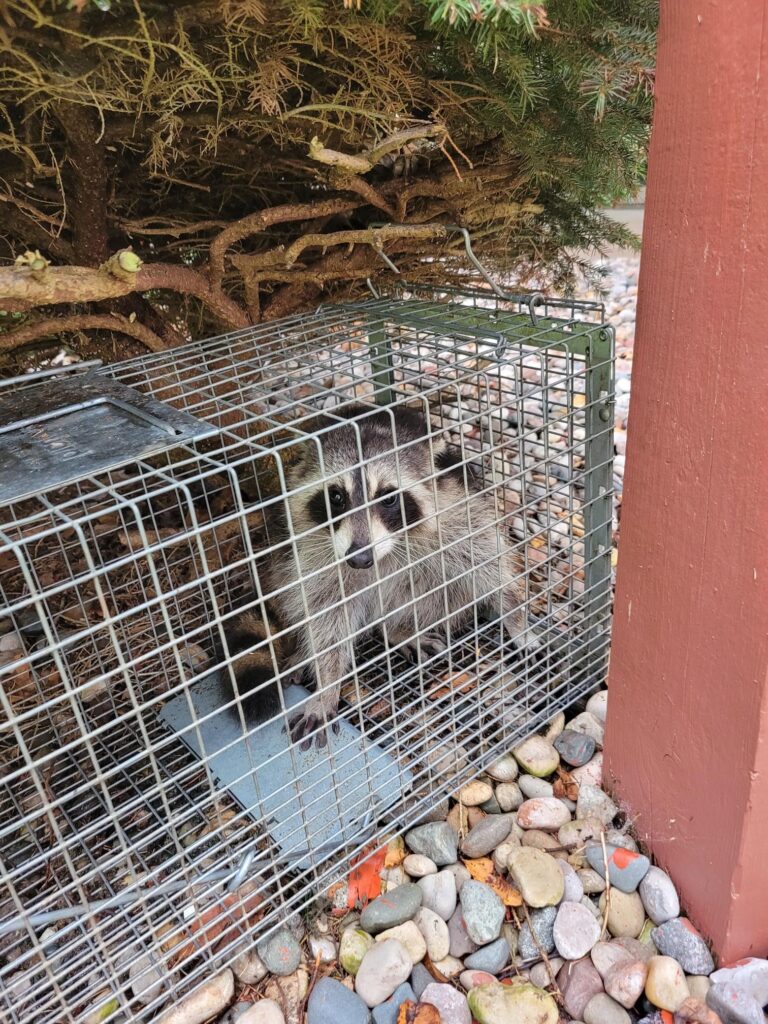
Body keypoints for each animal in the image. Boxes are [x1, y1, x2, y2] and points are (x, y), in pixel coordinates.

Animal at [224, 403, 535, 749]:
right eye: (336, 497)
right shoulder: (313, 549)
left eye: (388, 497)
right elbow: (326, 615)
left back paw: (398, 628)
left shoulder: (455, 509)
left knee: (440, 591)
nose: (359, 559)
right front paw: (326, 685)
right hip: (282, 557)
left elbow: (486, 562)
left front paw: (515, 617)